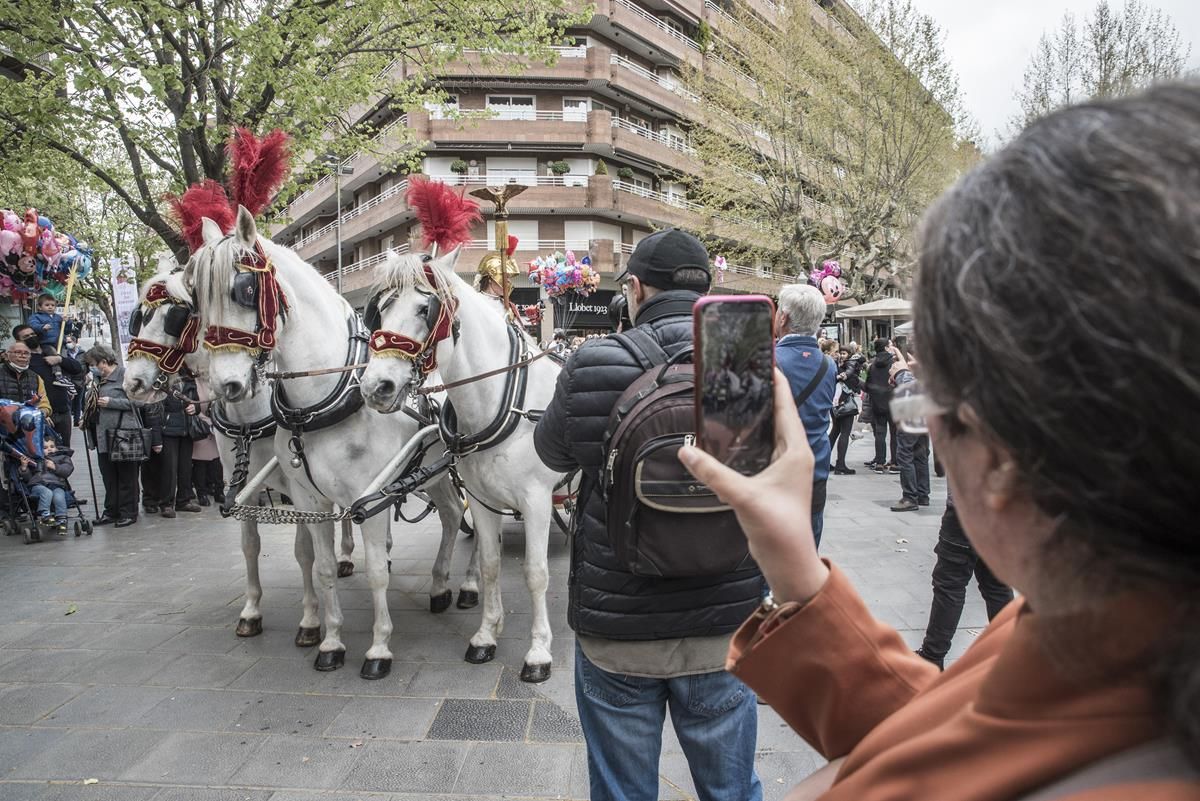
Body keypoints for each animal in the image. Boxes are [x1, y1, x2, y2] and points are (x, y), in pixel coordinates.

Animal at [184, 209, 470, 681]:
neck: (325, 398)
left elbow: (376, 574)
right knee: (451, 515)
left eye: (245, 290)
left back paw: (466, 585)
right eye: (196, 297)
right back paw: (441, 584)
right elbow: (319, 567)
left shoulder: (369, 496)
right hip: (433, 471)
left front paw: (378, 648)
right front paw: (330, 641)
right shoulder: (308, 500)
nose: (226, 386)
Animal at [357, 245, 564, 681]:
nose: (376, 387)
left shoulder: (537, 501)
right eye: (380, 309)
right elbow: (489, 563)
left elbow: (536, 573)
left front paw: (539, 652)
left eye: (425, 308)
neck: (504, 401)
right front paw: (486, 635)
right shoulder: (482, 500)